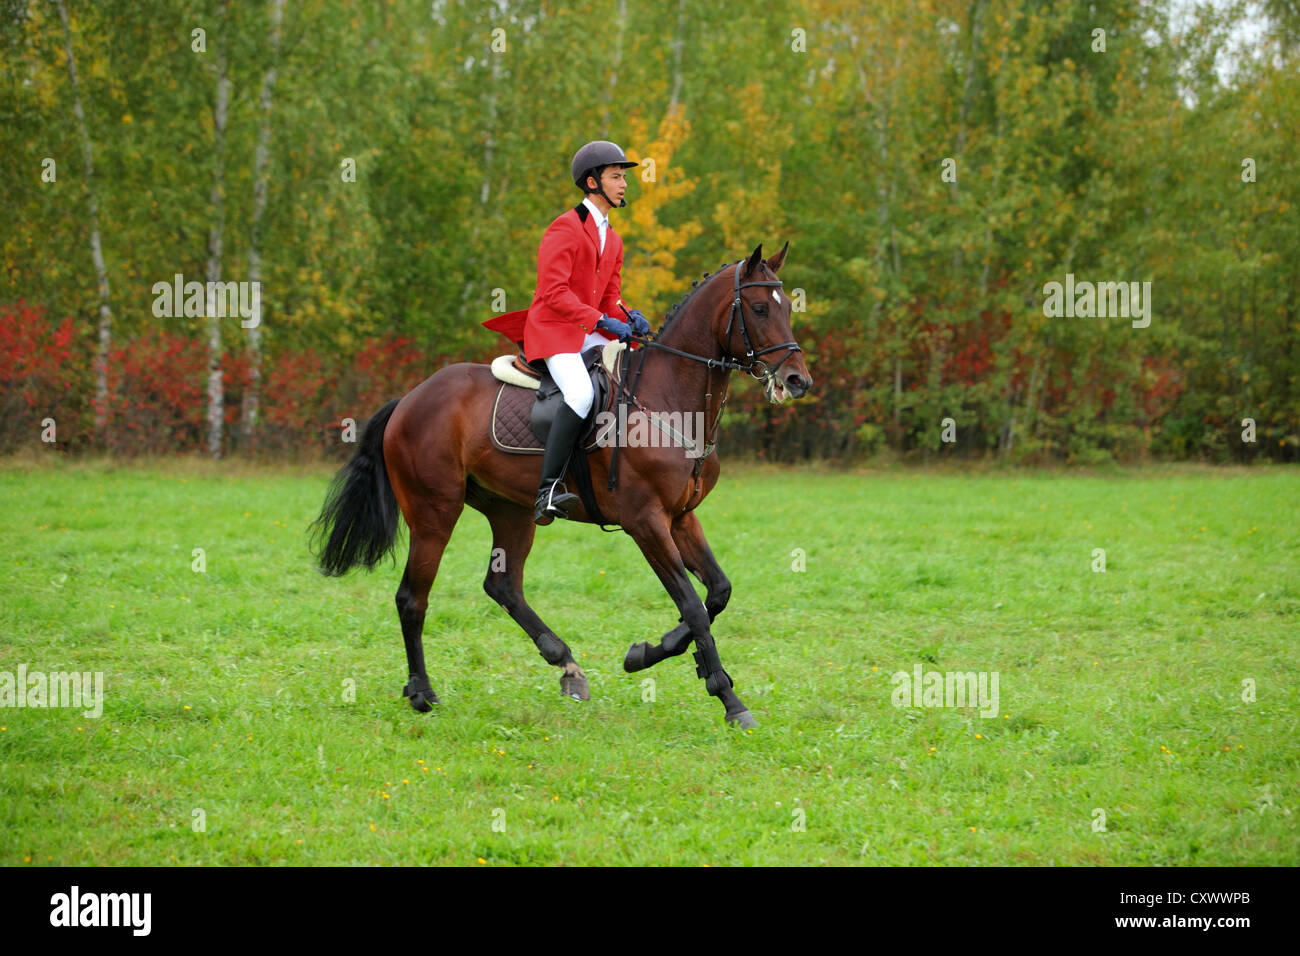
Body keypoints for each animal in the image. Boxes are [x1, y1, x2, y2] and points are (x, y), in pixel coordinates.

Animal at [310, 242, 813, 728]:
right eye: (759, 309)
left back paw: (566, 665)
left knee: (503, 586)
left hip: (510, 510)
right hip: (435, 513)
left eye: (789, 305)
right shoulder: (646, 522)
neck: (669, 399)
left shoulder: (681, 518)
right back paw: (422, 693)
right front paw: (728, 698)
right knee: (412, 598)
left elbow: (717, 594)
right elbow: (692, 604)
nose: (797, 380)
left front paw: (650, 653)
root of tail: (409, 399)